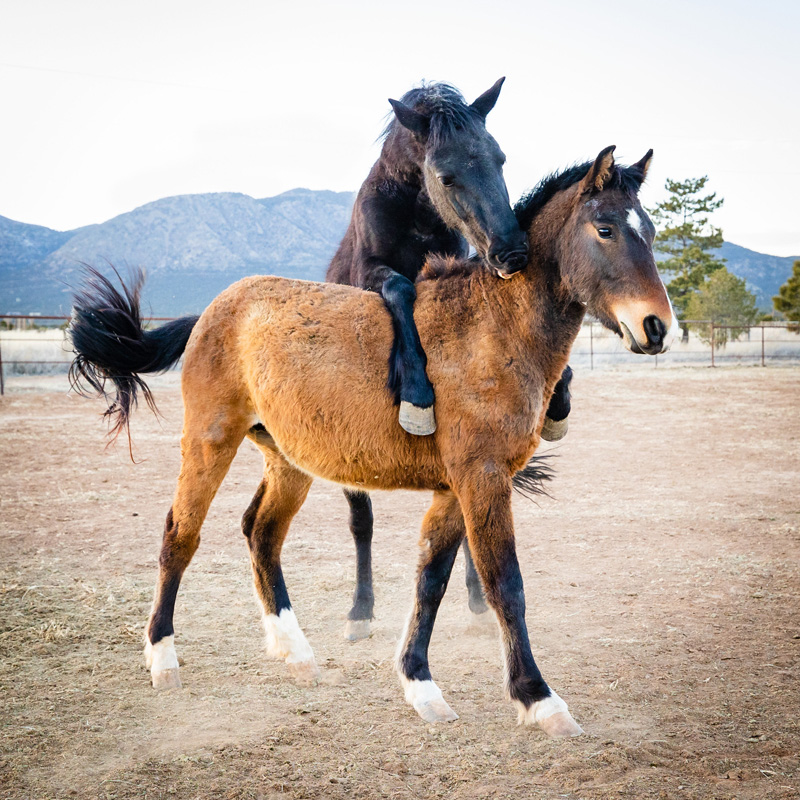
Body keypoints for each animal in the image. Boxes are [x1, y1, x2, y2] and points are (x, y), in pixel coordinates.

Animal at [72, 145, 680, 736]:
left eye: (649, 231)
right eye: (605, 228)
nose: (656, 327)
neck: (489, 329)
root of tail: (212, 311)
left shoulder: (453, 488)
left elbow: (431, 580)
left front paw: (420, 685)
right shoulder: (482, 479)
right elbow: (505, 584)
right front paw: (538, 699)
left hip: (288, 462)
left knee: (261, 533)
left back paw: (294, 652)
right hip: (209, 441)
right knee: (180, 535)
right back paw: (163, 659)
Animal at [324, 81, 568, 640]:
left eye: (500, 159)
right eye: (446, 175)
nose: (512, 252)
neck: (412, 214)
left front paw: (561, 395)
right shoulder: (374, 274)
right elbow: (400, 287)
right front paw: (416, 394)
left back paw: (477, 598)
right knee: (362, 522)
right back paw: (359, 612)